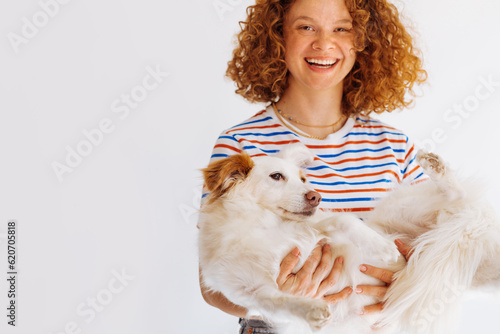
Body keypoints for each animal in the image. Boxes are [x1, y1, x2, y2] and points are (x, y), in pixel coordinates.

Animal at [198, 145, 500, 332]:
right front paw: (311, 311)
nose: (315, 197)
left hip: (402, 208)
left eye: (302, 179)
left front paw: (384, 249)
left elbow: (344, 221)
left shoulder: (320, 226)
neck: (263, 224)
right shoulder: (247, 290)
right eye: (276, 176)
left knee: (457, 195)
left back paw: (435, 167)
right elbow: (279, 301)